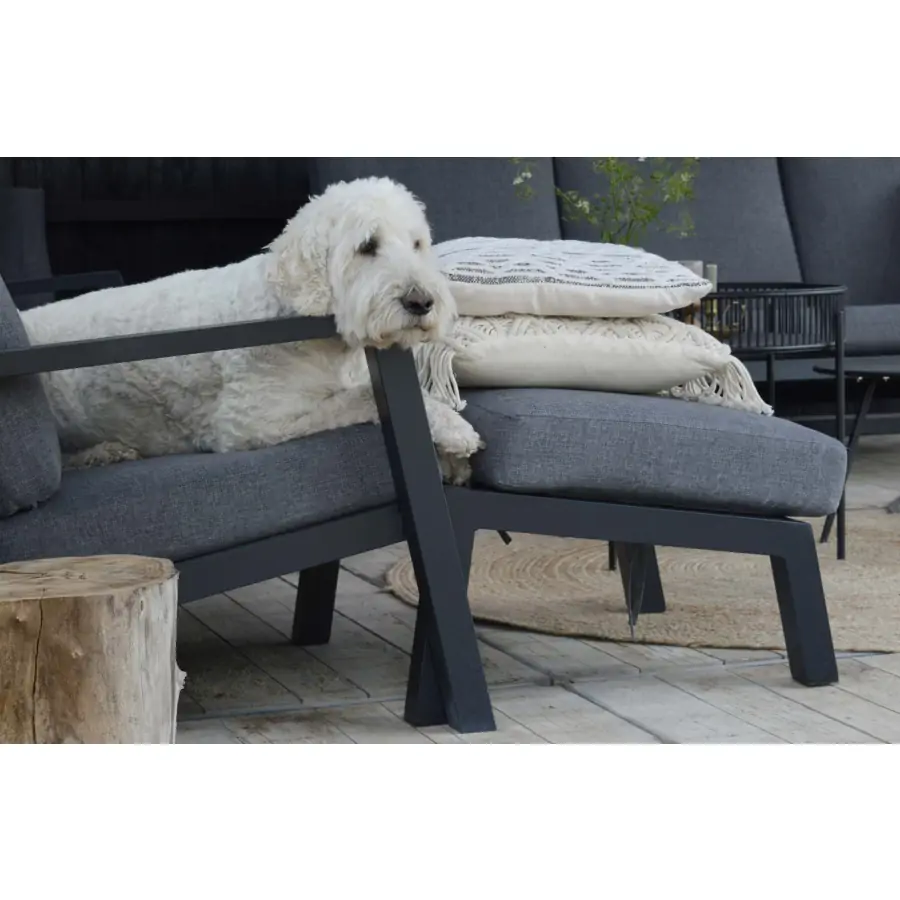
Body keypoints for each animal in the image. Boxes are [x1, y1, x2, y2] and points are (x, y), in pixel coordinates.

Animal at [22, 177, 483, 482]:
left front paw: (453, 461)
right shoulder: (253, 422)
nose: (422, 303)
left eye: (417, 244)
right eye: (367, 246)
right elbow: (361, 398)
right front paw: (456, 432)